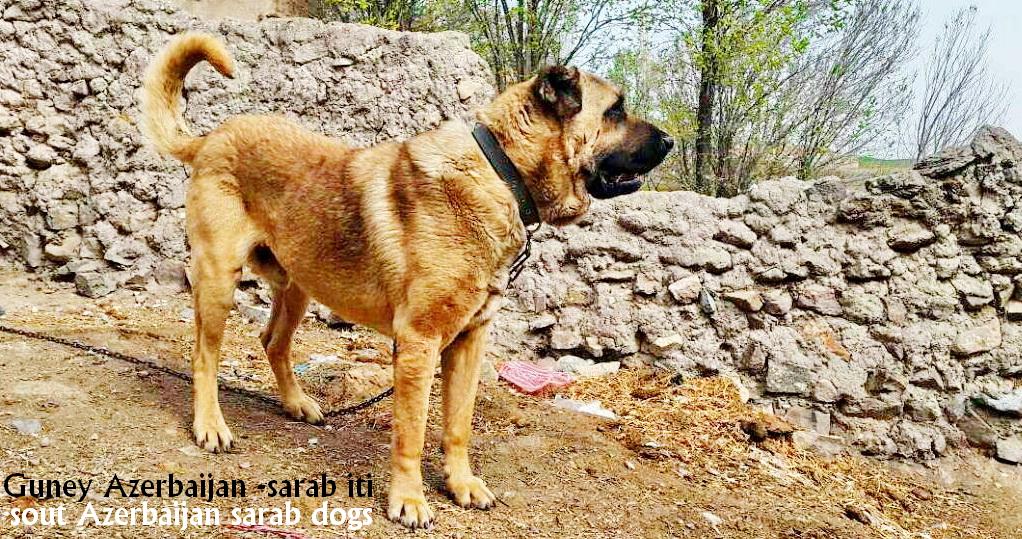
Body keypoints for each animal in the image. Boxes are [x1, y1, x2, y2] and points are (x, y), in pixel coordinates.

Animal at [140, 32, 674, 527]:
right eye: (617, 109)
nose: (671, 141)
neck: (503, 173)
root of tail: (211, 138)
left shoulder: (468, 343)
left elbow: (457, 425)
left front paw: (461, 484)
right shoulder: (419, 342)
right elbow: (412, 432)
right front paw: (409, 499)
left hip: (298, 285)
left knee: (272, 342)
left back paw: (296, 403)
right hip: (220, 279)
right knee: (205, 355)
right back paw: (210, 425)